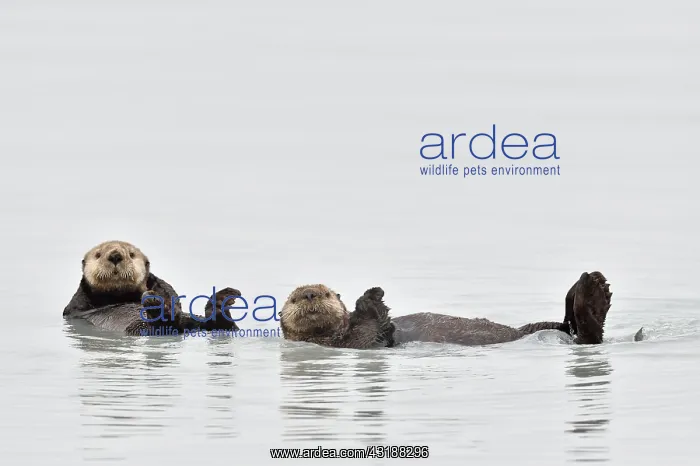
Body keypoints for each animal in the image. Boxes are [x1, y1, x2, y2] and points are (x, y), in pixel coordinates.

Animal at [63, 240, 240, 336]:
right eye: (98, 255)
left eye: (132, 254)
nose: (115, 255)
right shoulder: (76, 307)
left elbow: (167, 289)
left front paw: (161, 292)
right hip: (139, 328)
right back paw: (157, 307)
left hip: (196, 320)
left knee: (223, 326)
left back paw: (223, 300)